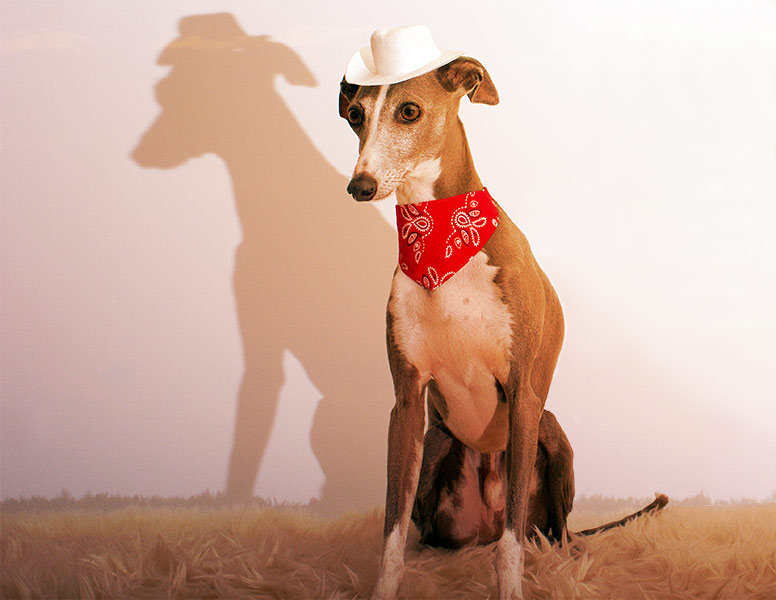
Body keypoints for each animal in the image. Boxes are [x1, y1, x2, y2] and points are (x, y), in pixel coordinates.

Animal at [340, 25, 668, 596]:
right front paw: (385, 587)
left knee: (546, 531)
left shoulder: (521, 395)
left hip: (549, 432)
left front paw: (511, 588)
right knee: (431, 531)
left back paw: (566, 552)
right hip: (436, 445)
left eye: (409, 111)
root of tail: (484, 523)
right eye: (356, 114)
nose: (360, 186)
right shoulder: (405, 403)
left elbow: (513, 543)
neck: (440, 242)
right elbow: (391, 532)